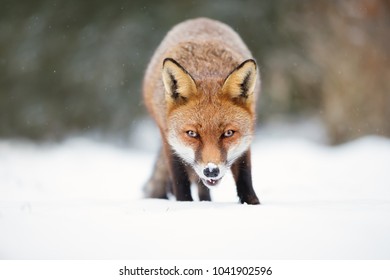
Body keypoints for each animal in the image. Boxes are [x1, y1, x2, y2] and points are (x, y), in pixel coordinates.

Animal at [142, 18, 258, 205]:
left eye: (228, 133)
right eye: (192, 133)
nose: (211, 171)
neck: (206, 69)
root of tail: (201, 20)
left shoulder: (246, 139)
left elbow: (244, 176)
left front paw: (252, 204)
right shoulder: (169, 140)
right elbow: (180, 179)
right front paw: (185, 205)